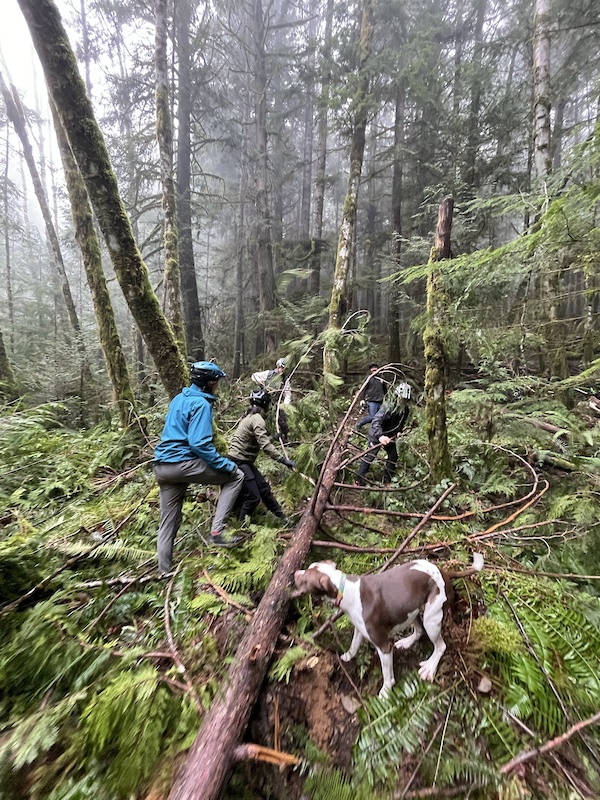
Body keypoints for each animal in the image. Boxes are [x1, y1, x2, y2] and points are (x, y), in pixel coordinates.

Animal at [292, 552, 486, 696]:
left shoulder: (384, 646)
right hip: (411, 610)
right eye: (308, 568)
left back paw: (430, 667)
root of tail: (444, 571)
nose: (295, 573)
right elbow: (353, 646)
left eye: (306, 579)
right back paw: (407, 642)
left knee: (440, 646)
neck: (345, 589)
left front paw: (385, 691)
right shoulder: (360, 629)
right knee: (419, 631)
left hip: (432, 618)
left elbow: (388, 676)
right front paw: (346, 657)